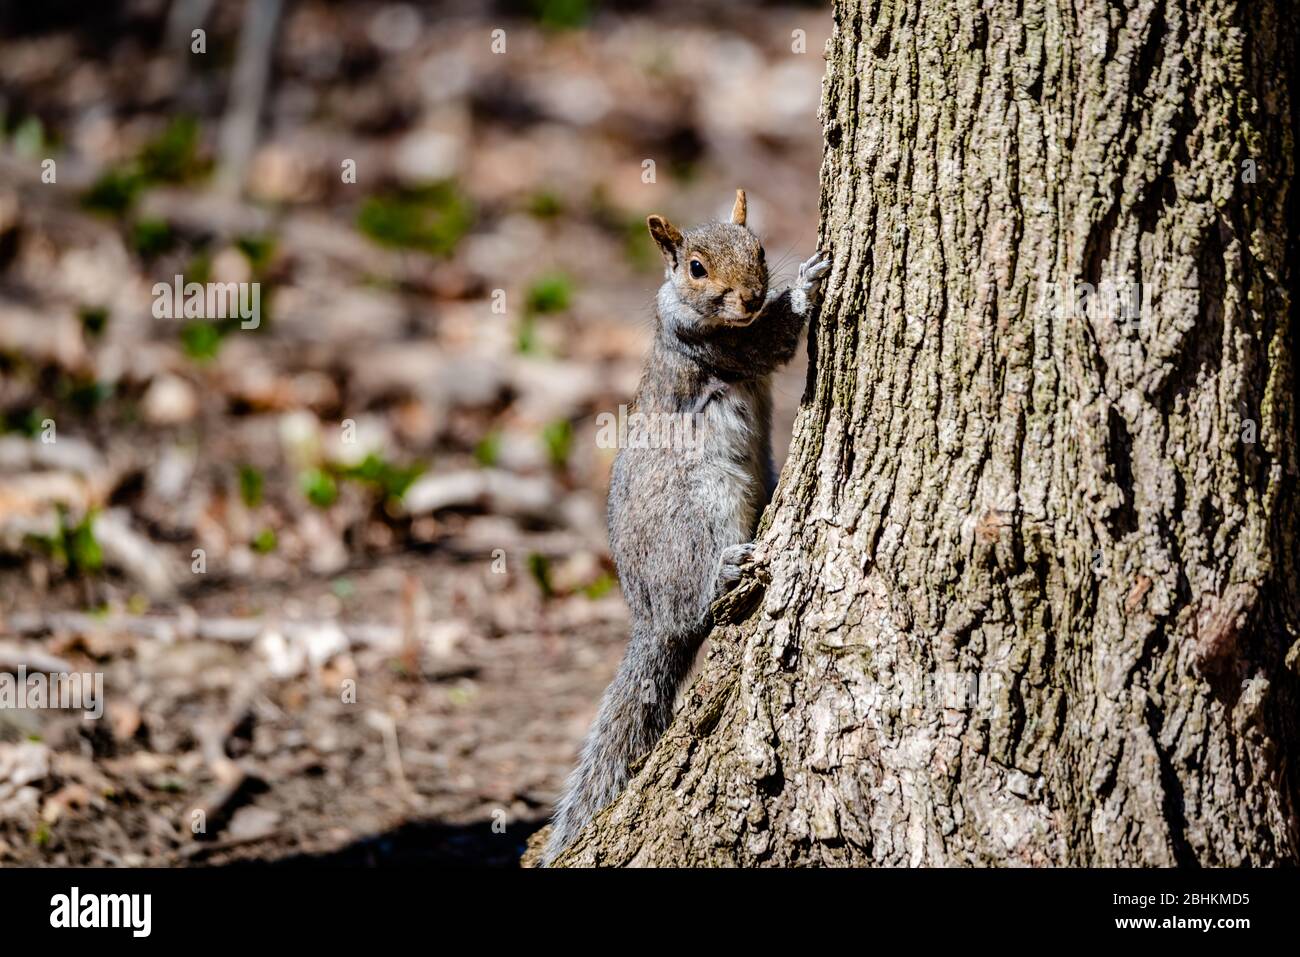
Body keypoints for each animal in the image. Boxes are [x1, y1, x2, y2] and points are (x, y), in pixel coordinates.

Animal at [540, 191, 832, 863]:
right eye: (695, 269)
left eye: (757, 248)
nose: (751, 296)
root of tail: (652, 618)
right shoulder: (711, 347)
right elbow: (771, 340)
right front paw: (805, 284)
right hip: (701, 510)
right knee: (700, 598)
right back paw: (726, 568)